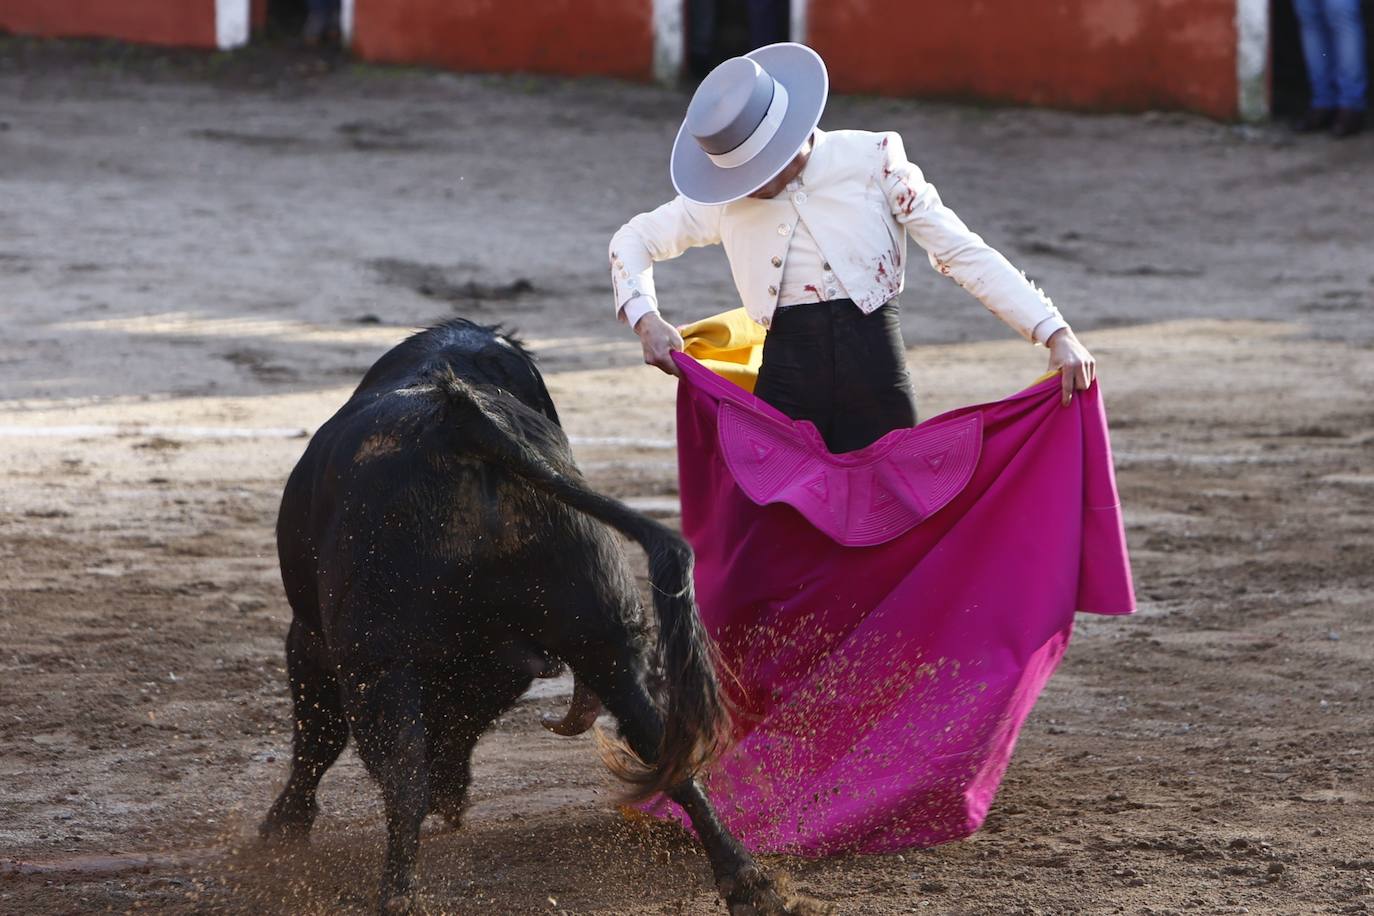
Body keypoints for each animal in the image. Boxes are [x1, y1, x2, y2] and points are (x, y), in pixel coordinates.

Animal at [258, 318, 802, 911]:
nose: (453, 800)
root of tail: (466, 427)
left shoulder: (314, 638)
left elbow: (317, 734)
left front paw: (284, 826)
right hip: (603, 637)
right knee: (663, 747)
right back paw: (749, 880)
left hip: (376, 663)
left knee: (400, 777)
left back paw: (398, 893)